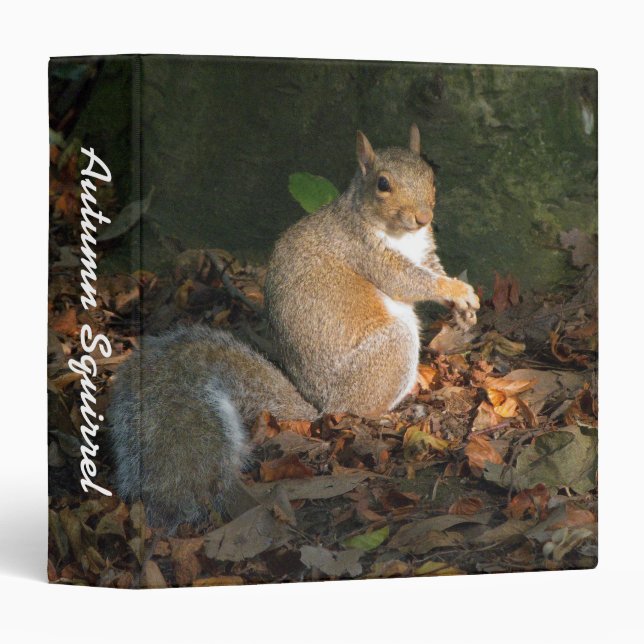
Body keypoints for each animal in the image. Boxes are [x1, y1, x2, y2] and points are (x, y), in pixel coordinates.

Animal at [264, 124, 479, 417]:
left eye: (431, 177)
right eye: (383, 184)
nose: (424, 219)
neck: (403, 234)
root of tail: (326, 406)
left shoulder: (424, 252)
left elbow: (432, 270)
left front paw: (464, 311)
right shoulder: (365, 251)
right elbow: (407, 281)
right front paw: (457, 290)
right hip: (390, 351)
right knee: (366, 408)